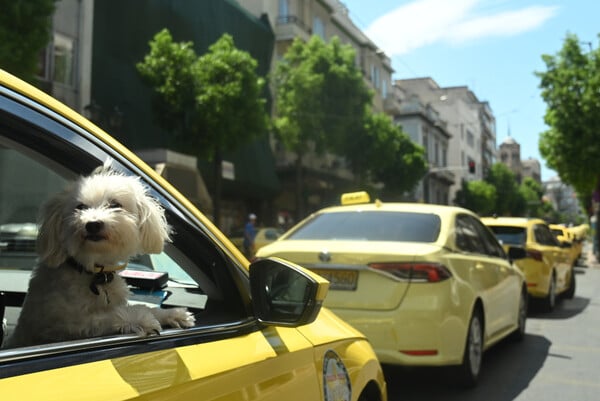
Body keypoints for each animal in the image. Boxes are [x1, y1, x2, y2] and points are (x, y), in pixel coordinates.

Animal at [5, 163, 197, 346]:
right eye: (80, 207)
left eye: (115, 205)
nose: (92, 224)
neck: (94, 271)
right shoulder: (65, 325)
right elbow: (110, 315)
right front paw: (141, 318)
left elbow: (147, 307)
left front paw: (173, 314)